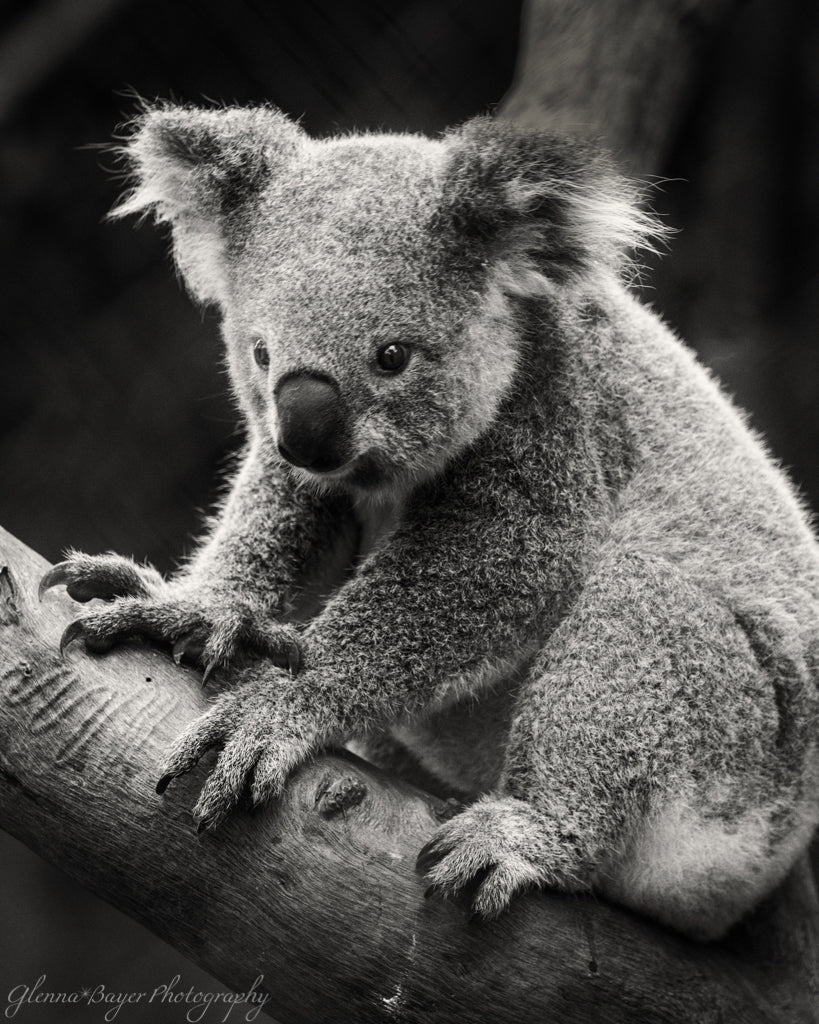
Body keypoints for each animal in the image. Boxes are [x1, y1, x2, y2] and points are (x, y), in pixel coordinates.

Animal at [40, 105, 819, 940]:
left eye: (392, 356)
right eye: (260, 354)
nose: (304, 435)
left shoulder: (557, 422)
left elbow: (491, 570)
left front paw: (269, 712)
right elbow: (284, 520)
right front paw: (185, 609)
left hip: (748, 752)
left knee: (644, 610)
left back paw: (525, 834)